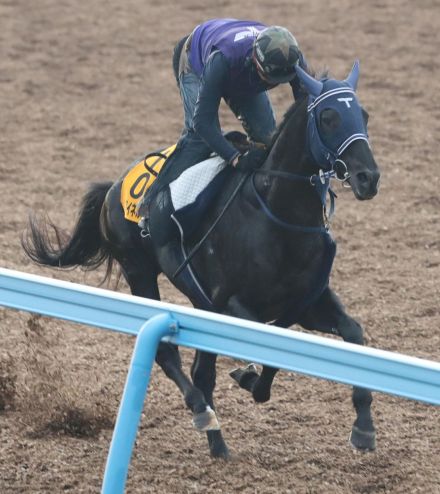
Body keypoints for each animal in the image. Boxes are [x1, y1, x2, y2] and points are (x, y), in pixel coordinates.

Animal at [22, 61, 382, 460]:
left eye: (363, 114)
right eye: (329, 116)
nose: (368, 178)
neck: (278, 216)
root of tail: (113, 187)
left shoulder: (307, 303)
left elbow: (352, 332)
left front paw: (364, 427)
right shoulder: (232, 304)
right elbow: (267, 353)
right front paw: (247, 376)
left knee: (201, 370)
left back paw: (218, 442)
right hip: (140, 272)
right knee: (170, 356)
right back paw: (203, 412)